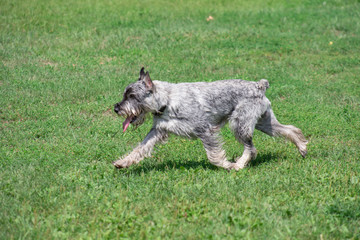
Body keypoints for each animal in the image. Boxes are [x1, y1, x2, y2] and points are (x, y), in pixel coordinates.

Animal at [112, 67, 306, 171]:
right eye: (125, 95)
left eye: (132, 96)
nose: (116, 108)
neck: (167, 100)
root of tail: (259, 86)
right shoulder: (158, 131)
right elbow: (140, 148)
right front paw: (123, 162)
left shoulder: (205, 130)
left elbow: (214, 156)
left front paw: (227, 165)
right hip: (264, 122)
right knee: (290, 129)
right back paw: (302, 147)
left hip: (239, 125)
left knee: (251, 149)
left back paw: (238, 165)